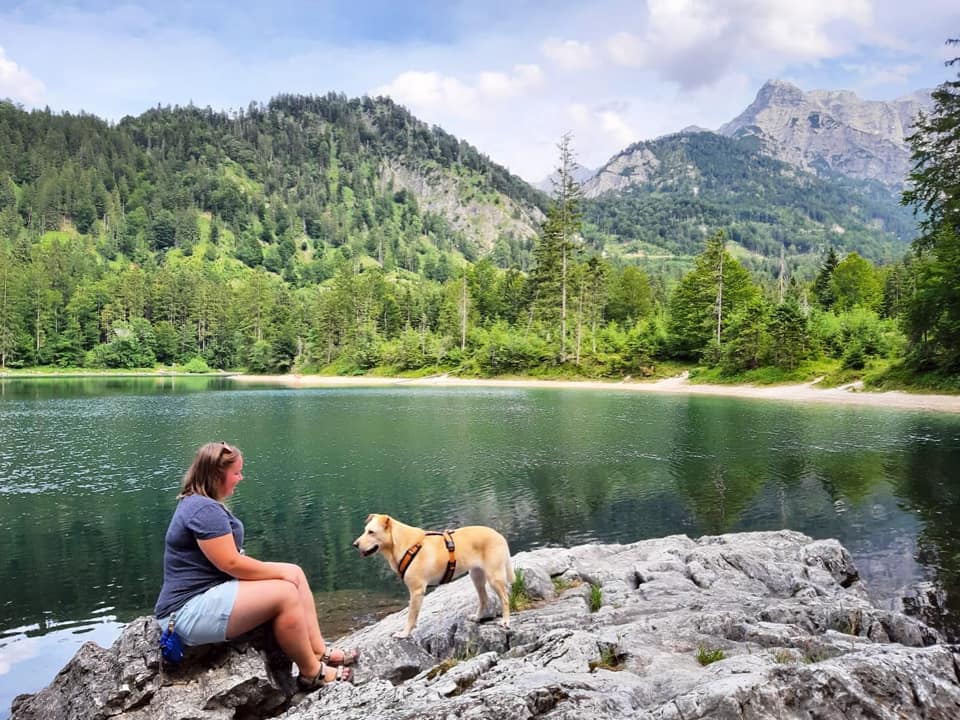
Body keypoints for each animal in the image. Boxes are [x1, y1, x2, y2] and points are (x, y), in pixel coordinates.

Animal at [352, 516, 512, 640]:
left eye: (371, 532)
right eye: (365, 530)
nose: (355, 544)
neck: (404, 546)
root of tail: (499, 535)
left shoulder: (416, 591)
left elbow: (411, 616)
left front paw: (404, 634)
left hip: (494, 577)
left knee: (504, 599)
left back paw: (505, 621)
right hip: (476, 575)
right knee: (484, 599)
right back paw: (478, 617)